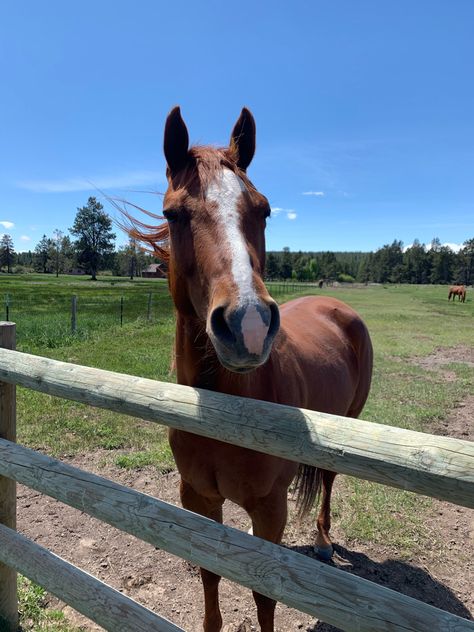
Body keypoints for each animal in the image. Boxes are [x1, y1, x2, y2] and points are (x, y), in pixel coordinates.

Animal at [130, 106, 374, 628]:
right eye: (173, 213)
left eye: (263, 209)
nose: (250, 324)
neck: (226, 411)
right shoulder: (197, 497)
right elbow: (210, 573)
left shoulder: (269, 509)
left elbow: (265, 594)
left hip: (347, 424)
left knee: (328, 481)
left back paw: (323, 542)